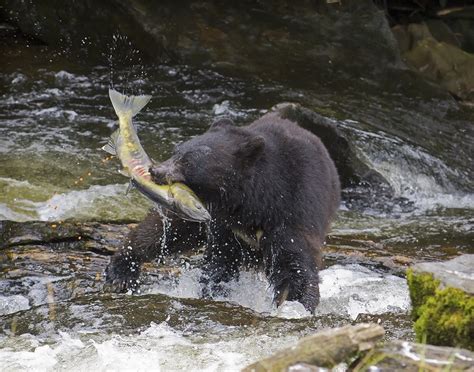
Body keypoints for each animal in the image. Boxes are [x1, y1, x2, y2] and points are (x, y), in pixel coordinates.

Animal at [105, 107, 338, 310]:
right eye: (176, 151)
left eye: (188, 161)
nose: (155, 170)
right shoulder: (222, 221)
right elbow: (221, 259)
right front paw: (214, 291)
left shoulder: (294, 209)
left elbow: (295, 262)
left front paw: (296, 305)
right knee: (162, 230)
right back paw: (121, 270)